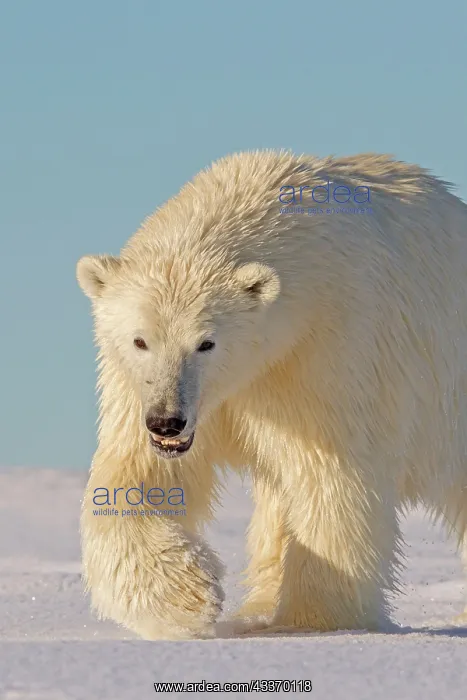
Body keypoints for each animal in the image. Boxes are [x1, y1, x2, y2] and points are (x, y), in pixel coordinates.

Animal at [76, 150, 467, 640]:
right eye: (140, 340)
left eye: (206, 342)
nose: (168, 420)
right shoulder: (143, 392)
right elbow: (138, 477)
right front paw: (189, 597)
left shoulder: (328, 350)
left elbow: (333, 478)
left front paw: (316, 620)